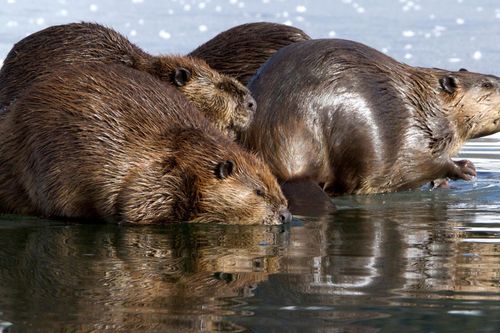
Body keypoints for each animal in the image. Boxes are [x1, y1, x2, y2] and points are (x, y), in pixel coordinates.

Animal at [0, 63, 292, 223]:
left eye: (276, 188)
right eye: (258, 193)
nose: (285, 216)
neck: (192, 152)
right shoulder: (158, 174)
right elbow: (135, 207)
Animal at [242, 39, 500, 196]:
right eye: (487, 84)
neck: (425, 105)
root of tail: (293, 173)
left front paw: (443, 183)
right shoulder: (414, 135)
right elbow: (420, 162)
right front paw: (466, 168)